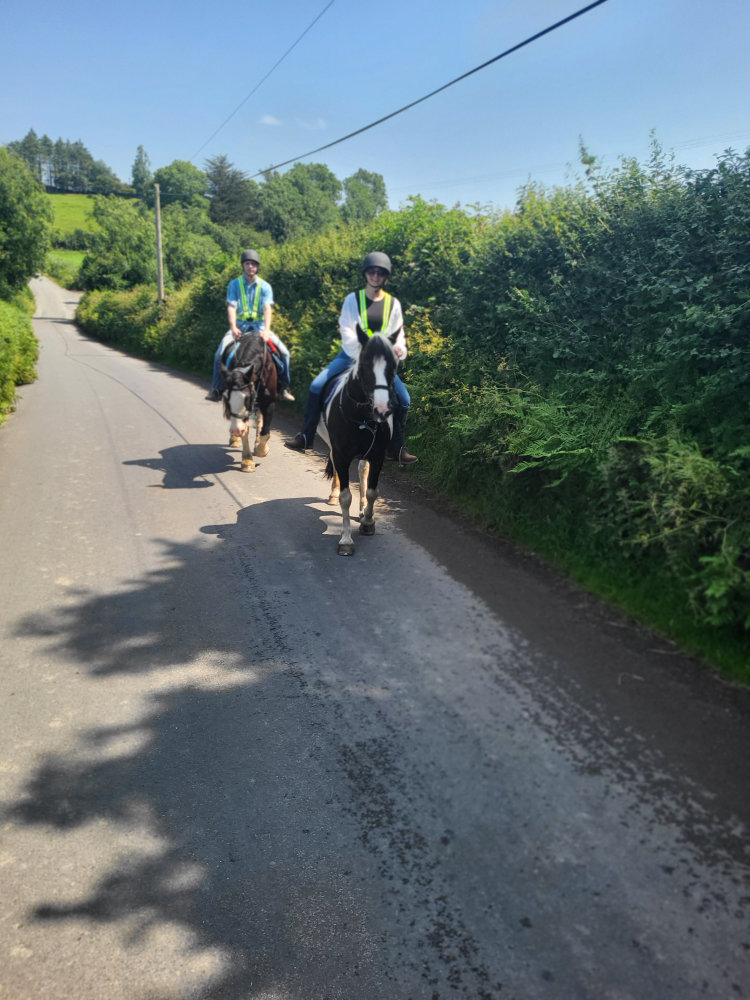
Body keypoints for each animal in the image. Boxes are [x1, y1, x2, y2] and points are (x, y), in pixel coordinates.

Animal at [220, 332, 278, 472]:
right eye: (225, 398)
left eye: (246, 398)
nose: (235, 430)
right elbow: (245, 431)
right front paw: (247, 461)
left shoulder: (269, 403)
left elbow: (265, 432)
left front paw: (261, 449)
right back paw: (235, 439)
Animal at [321, 325, 400, 556]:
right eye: (365, 364)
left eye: (393, 366)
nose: (382, 408)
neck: (362, 417)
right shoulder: (341, 454)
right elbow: (346, 497)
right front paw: (346, 539)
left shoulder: (377, 454)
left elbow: (373, 491)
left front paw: (367, 521)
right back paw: (333, 494)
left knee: (362, 470)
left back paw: (362, 508)